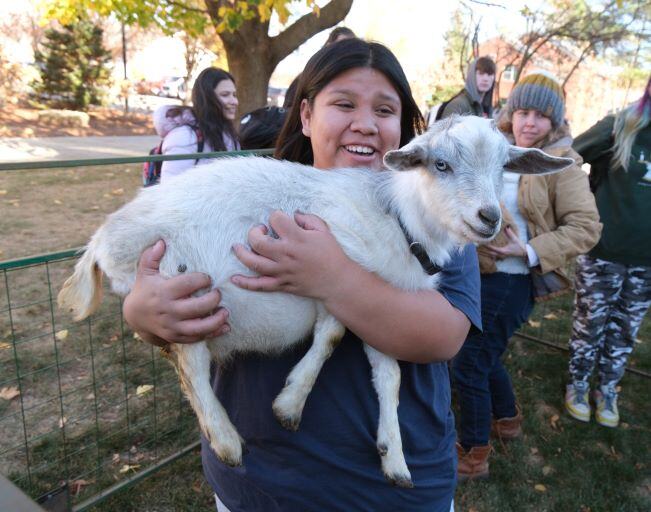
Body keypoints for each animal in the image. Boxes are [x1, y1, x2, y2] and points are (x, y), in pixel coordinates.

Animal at [58, 116, 572, 488]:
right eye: (440, 164)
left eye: (503, 167)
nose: (489, 218)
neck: (399, 219)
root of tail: (102, 241)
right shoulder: (336, 271)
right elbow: (331, 335)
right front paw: (291, 403)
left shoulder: (381, 303)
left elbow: (388, 378)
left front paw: (393, 455)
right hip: (180, 286)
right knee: (189, 363)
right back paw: (225, 439)